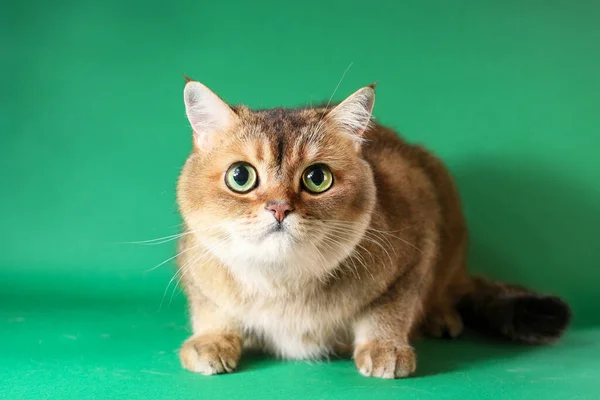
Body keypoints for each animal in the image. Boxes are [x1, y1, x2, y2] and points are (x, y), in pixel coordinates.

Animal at [175, 77, 572, 378]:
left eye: (317, 178)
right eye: (240, 176)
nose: (279, 208)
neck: (282, 286)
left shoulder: (416, 243)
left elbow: (389, 307)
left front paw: (384, 346)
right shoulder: (196, 264)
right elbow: (211, 307)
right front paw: (213, 339)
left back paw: (441, 315)